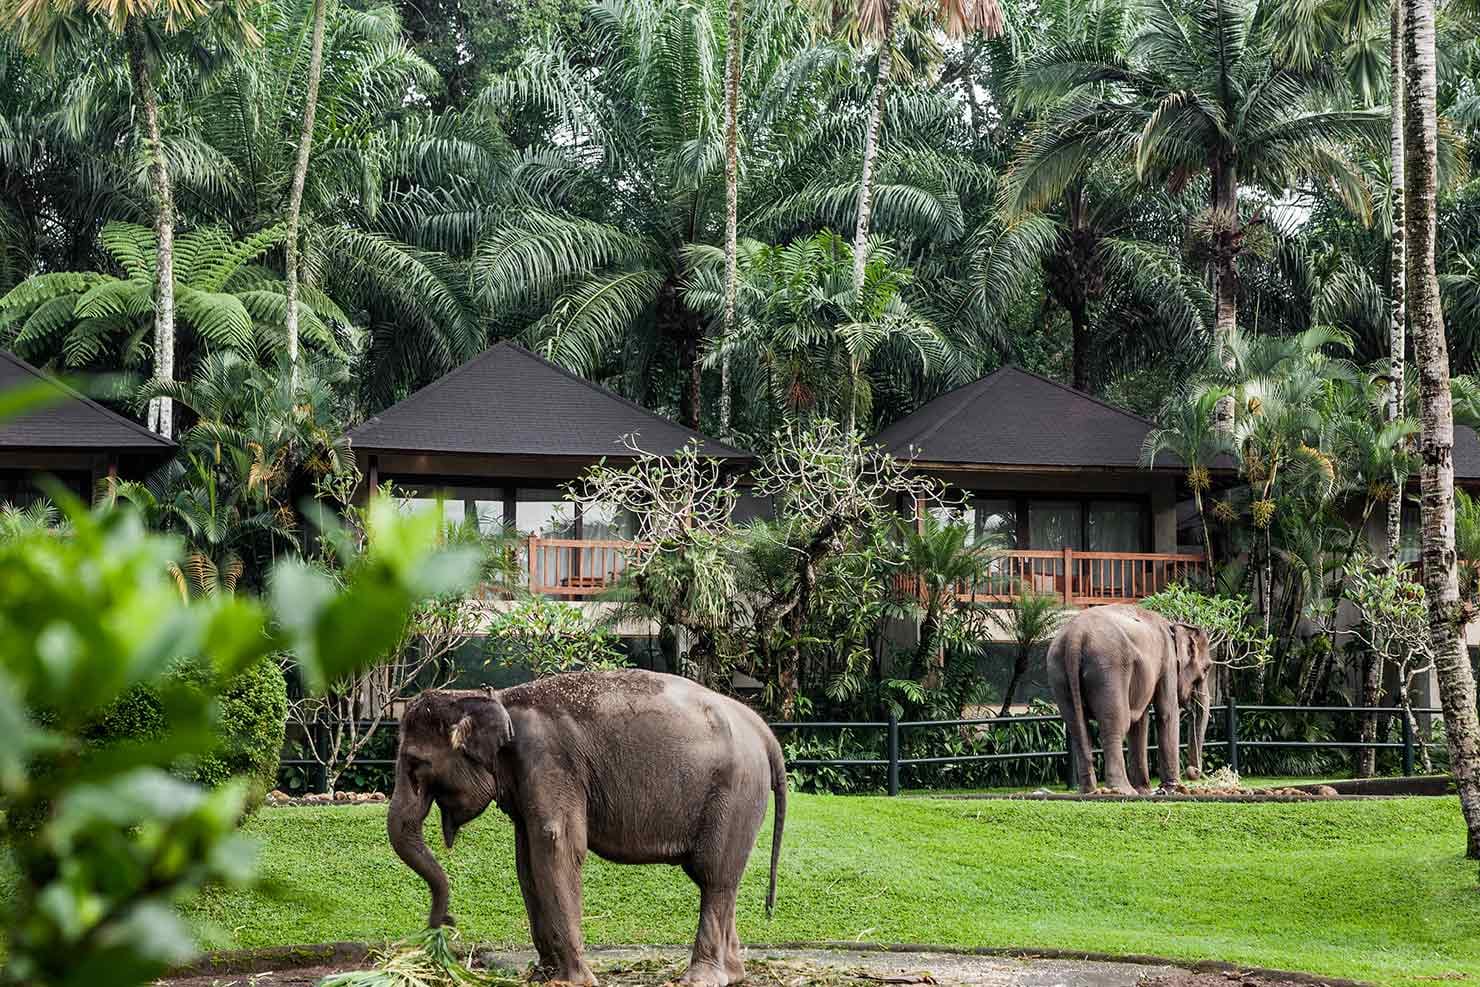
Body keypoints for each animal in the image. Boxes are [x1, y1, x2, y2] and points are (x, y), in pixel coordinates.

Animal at [387, 669, 787, 987]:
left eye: (416, 764)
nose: (446, 923)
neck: (498, 698)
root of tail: (764, 731)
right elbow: (527, 860)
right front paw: (540, 976)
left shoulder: (549, 760)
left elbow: (556, 845)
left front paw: (571, 981)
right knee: (721, 879)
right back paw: (733, 974)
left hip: (734, 792)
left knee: (713, 875)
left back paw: (699, 979)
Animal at [1046, 604, 1213, 795]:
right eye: (1207, 668)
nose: (1193, 772)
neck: (1174, 626)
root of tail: (1075, 638)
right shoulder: (1168, 663)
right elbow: (1167, 713)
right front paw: (1171, 789)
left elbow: (1141, 722)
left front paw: (1145, 791)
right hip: (1108, 670)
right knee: (1115, 724)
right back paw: (1123, 790)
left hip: (1058, 673)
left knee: (1078, 728)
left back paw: (1089, 791)